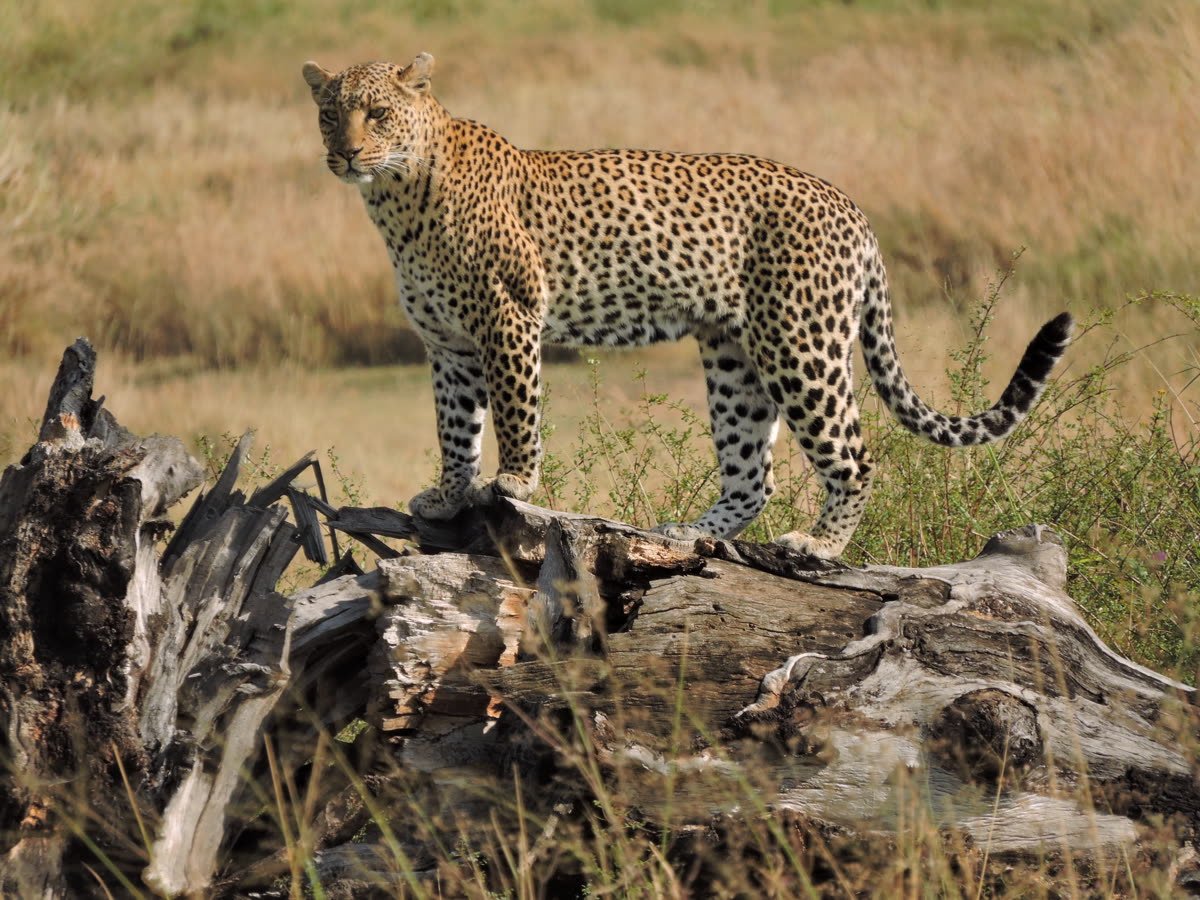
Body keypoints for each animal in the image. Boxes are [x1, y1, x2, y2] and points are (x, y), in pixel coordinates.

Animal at [301, 52, 1073, 560]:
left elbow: (517, 411)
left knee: (854, 454)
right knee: (752, 472)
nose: (348, 153)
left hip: (800, 344)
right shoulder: (448, 345)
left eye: (378, 113)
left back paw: (819, 544)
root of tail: (850, 204)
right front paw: (450, 494)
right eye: (331, 115)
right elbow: (454, 429)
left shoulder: (507, 315)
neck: (395, 198)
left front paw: (514, 482)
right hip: (735, 356)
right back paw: (688, 535)